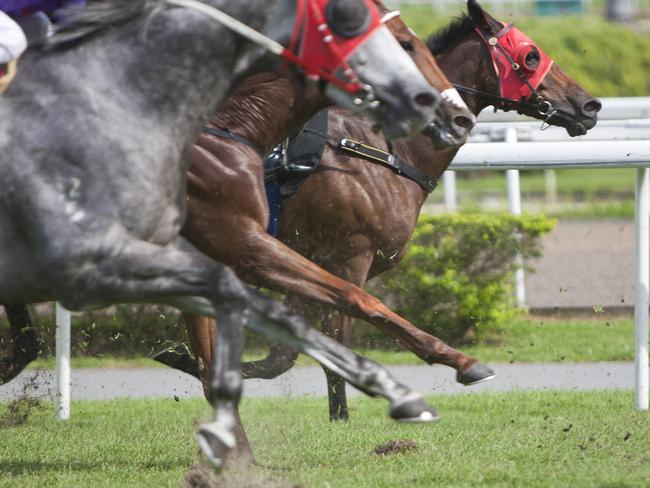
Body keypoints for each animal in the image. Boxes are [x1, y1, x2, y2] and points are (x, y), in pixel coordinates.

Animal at [159, 0, 600, 420]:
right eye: (531, 55)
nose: (590, 105)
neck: (380, 149)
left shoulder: (311, 260)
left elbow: (282, 356)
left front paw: (185, 359)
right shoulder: (348, 256)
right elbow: (335, 342)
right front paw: (341, 418)